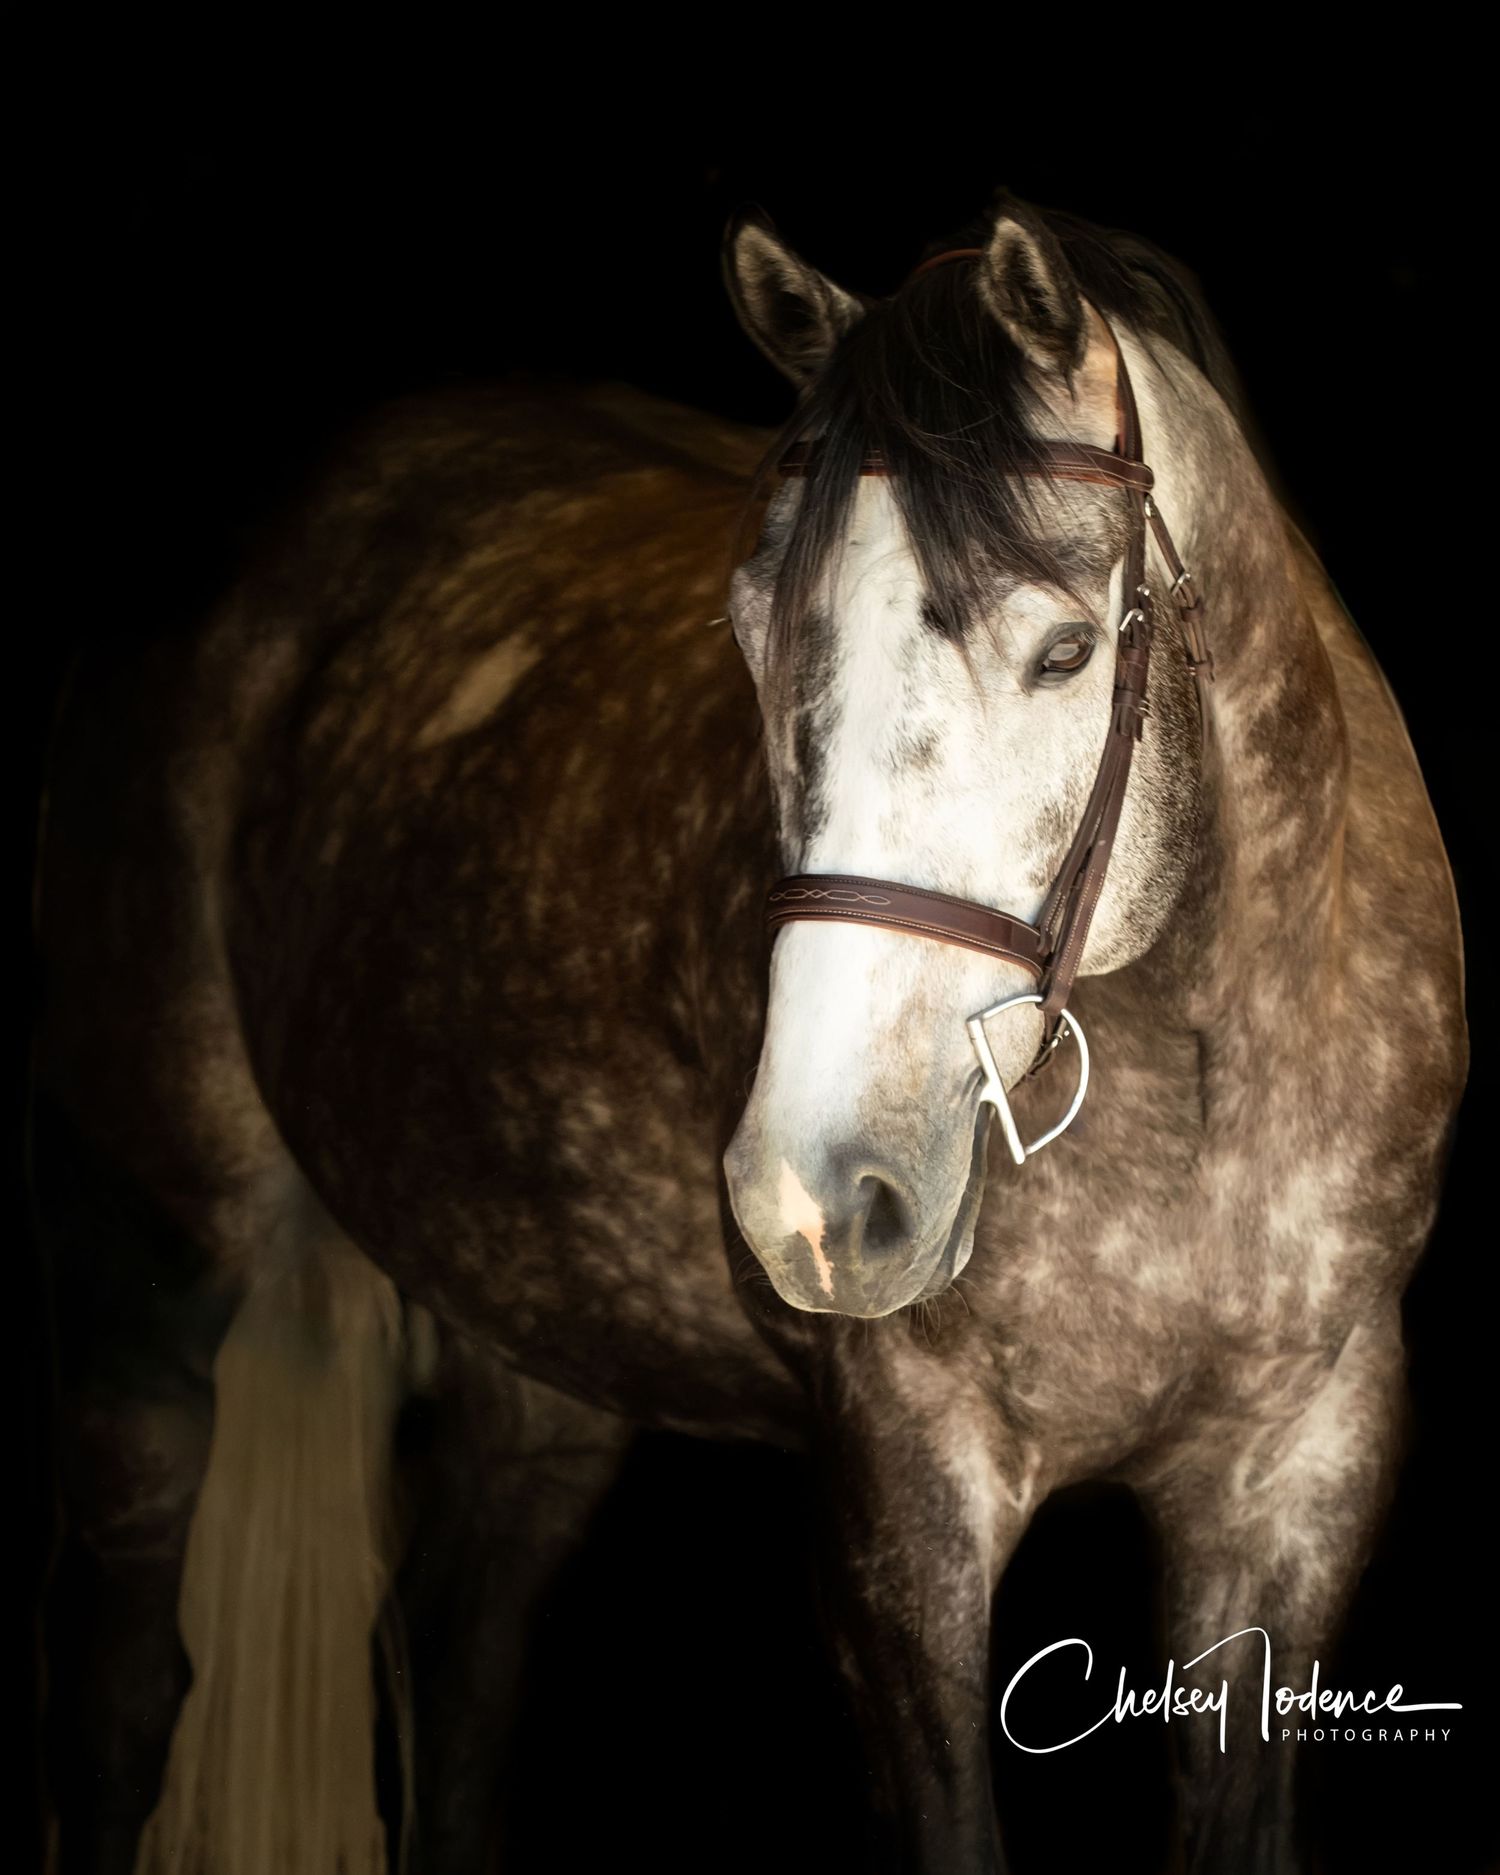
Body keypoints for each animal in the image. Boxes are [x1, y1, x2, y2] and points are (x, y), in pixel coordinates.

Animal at [34, 188, 1467, 1874]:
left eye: (1062, 651)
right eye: (753, 633)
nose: (817, 1199)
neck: (1204, 1089)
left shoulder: (1295, 1479)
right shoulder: (903, 1499)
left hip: (544, 1357)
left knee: (457, 1662)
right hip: (165, 1261)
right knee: (130, 1688)